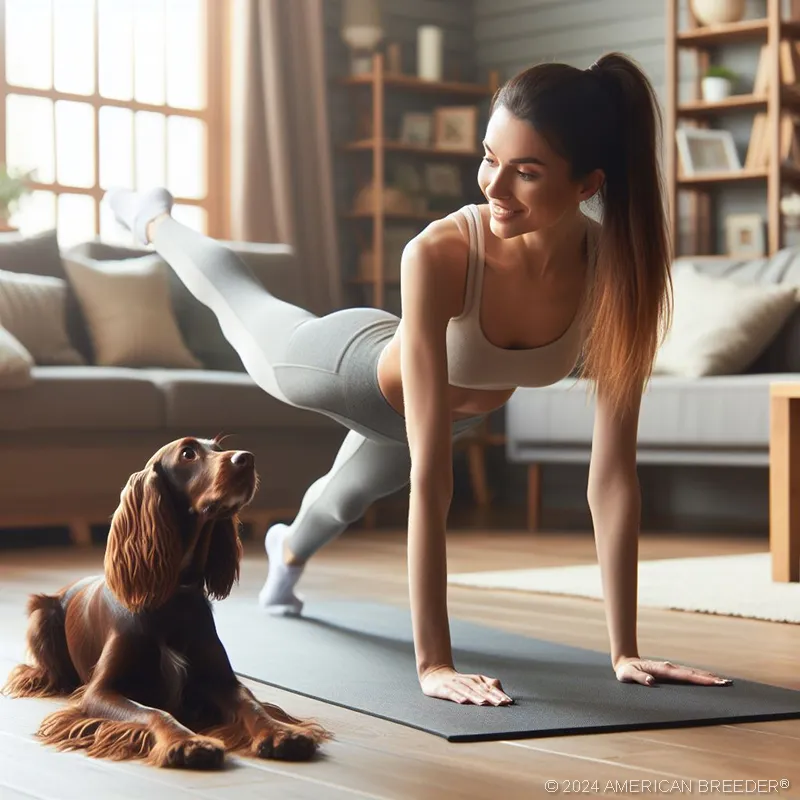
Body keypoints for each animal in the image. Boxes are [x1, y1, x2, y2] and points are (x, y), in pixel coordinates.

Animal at [2, 438, 328, 768]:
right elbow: (154, 712)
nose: (247, 458)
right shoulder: (100, 691)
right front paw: (188, 742)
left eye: (217, 447)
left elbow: (252, 704)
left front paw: (281, 732)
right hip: (41, 615)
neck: (173, 597)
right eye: (188, 453)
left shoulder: (224, 680)